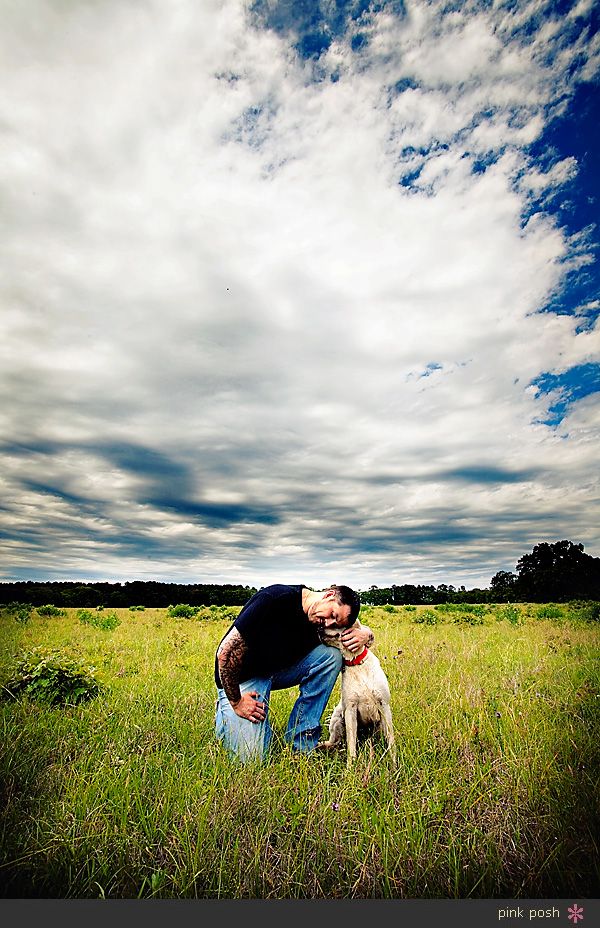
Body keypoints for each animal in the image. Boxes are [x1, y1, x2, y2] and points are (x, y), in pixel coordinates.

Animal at [316, 620, 396, 764]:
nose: (318, 628)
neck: (356, 663)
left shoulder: (384, 706)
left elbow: (391, 740)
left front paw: (394, 764)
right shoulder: (350, 710)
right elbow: (351, 745)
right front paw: (350, 767)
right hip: (337, 718)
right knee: (334, 743)